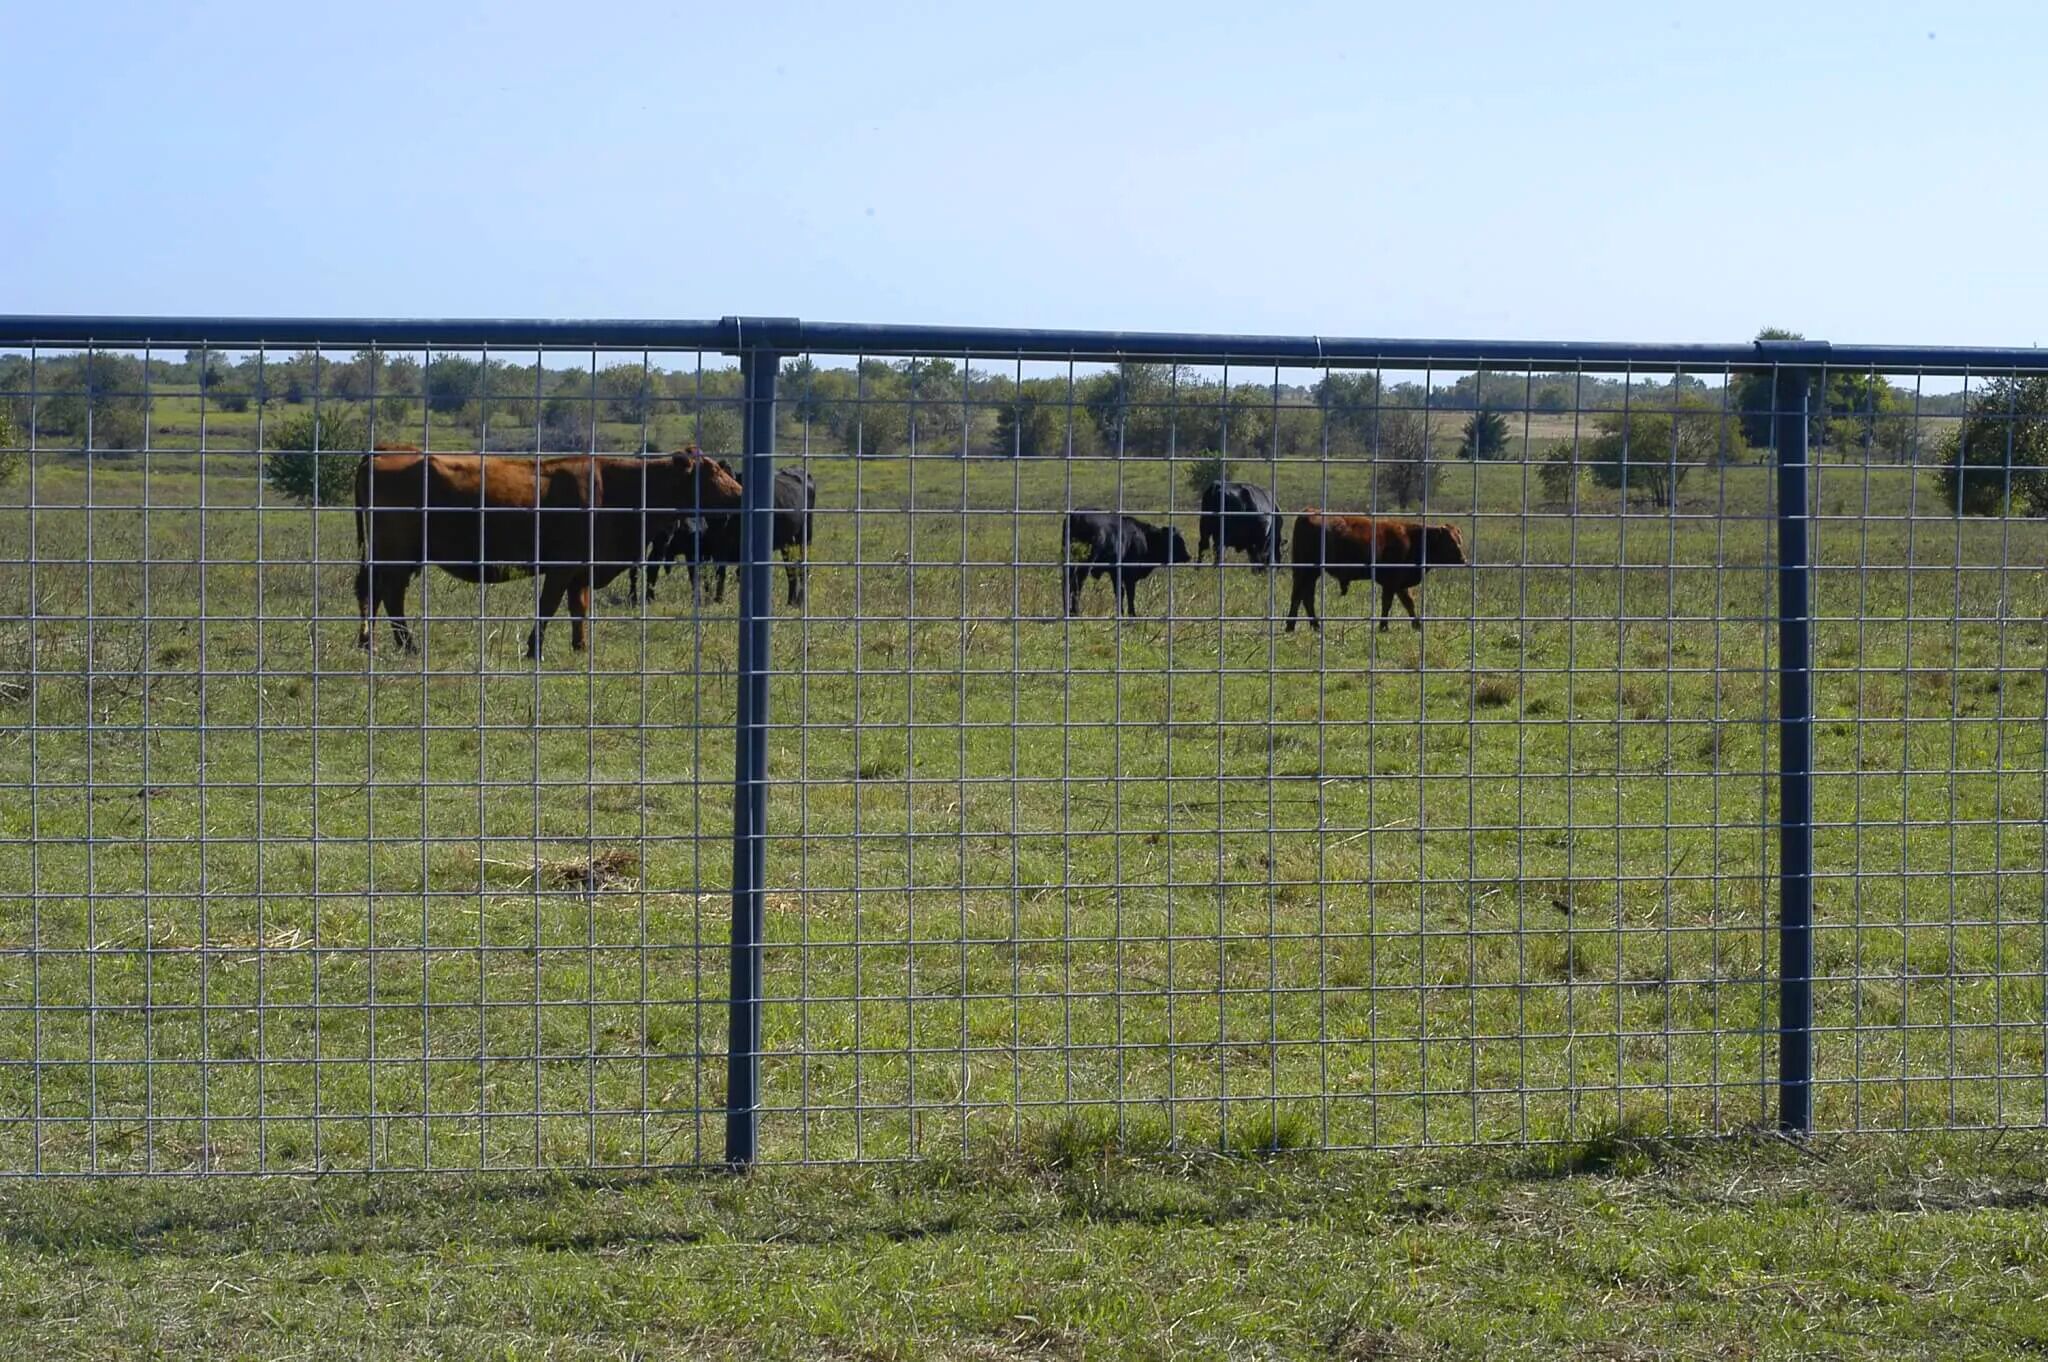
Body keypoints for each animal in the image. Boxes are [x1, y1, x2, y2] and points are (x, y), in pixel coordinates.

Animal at [353, 449, 742, 658]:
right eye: (712, 471)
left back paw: (374, 644)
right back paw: (397, 645)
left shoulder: (582, 569)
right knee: (384, 594)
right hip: (396, 555)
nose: (741, 493)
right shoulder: (562, 566)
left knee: (376, 593)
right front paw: (534, 649)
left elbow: (578, 608)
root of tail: (382, 451)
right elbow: (548, 606)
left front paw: (580, 647)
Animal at [638, 461, 817, 608]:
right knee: (791, 570)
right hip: (787, 543)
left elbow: (719, 574)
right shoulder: (704, 550)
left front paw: (717, 600)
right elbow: (706, 575)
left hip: (804, 539)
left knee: (802, 569)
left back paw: (799, 602)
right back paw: (791, 601)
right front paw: (708, 600)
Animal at [1064, 511, 1193, 616]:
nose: (1188, 556)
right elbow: (1130, 594)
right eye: (1177, 541)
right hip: (1085, 564)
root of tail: (1077, 516)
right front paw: (1132, 614)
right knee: (1077, 585)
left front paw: (1120, 612)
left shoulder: (1116, 573)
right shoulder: (1130, 575)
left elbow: (1119, 592)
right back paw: (1075, 612)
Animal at [1284, 512, 1467, 632]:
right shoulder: (1391, 582)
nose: (1463, 559)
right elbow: (1387, 603)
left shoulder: (1399, 584)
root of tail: (1307, 513)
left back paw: (1312, 626)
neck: (1414, 539)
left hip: (1309, 574)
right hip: (1306, 571)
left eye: (1459, 539)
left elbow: (1409, 603)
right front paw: (1383, 626)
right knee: (1299, 596)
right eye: (1450, 542)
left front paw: (1417, 626)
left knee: (1305, 597)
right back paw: (1293, 626)